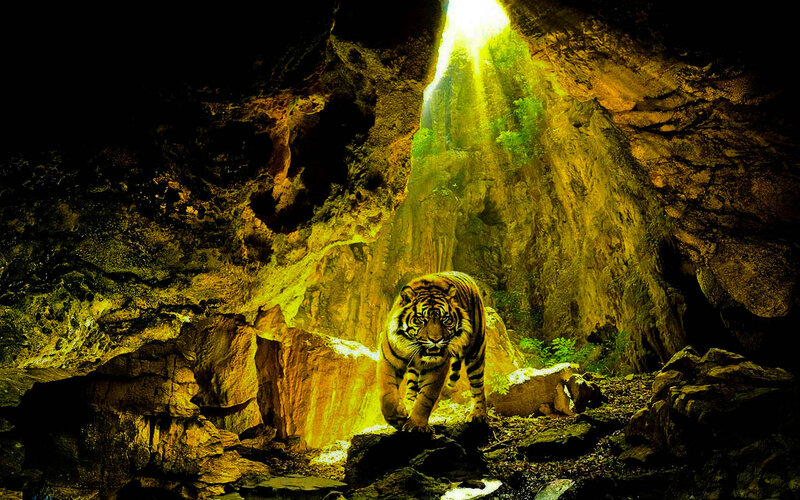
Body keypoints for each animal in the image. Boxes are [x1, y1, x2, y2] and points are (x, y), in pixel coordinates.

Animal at [378, 271, 487, 432]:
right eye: (420, 320)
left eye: (446, 319)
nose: (436, 340)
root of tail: (465, 275)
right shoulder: (388, 359)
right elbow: (387, 393)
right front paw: (397, 417)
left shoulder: (436, 367)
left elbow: (426, 397)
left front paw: (416, 425)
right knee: (412, 385)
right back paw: (408, 404)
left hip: (476, 350)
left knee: (477, 384)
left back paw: (478, 414)